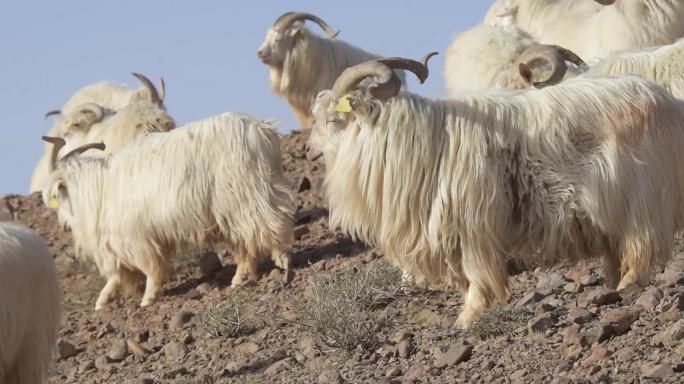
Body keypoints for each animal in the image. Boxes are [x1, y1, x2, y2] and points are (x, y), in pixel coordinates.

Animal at [42, 112, 294, 310]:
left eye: (57, 196)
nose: (63, 225)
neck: (99, 188)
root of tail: (262, 130)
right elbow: (117, 274)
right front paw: (103, 301)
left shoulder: (135, 237)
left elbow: (150, 267)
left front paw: (148, 298)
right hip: (239, 203)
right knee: (247, 242)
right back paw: (240, 278)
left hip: (245, 196)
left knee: (268, 223)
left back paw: (281, 259)